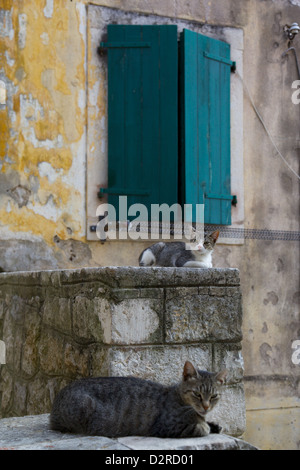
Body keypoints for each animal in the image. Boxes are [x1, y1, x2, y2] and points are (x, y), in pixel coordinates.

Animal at [49, 362, 227, 438]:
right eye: (197, 394)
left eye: (213, 396)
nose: (206, 407)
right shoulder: (165, 427)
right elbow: (199, 428)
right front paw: (206, 426)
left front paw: (214, 424)